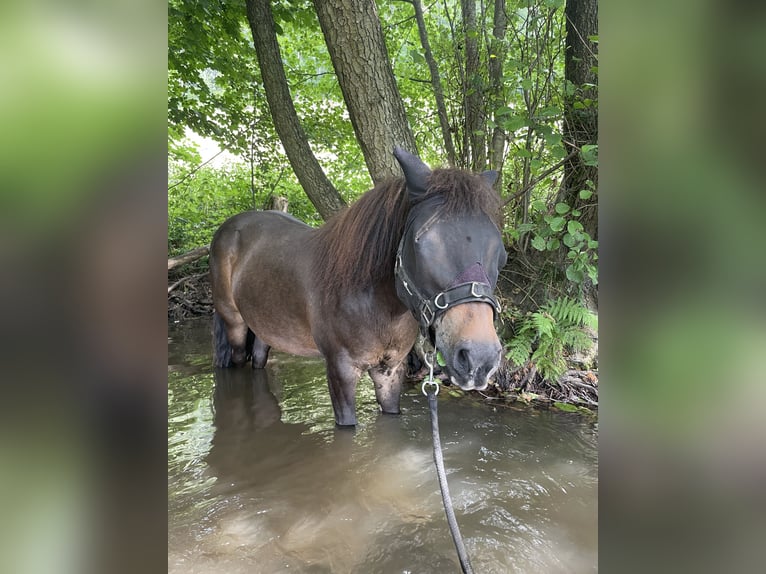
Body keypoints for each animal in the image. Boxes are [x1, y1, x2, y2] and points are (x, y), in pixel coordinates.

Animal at [210, 148, 510, 428]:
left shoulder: (390, 370)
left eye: (500, 251)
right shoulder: (340, 371)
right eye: (420, 241)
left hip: (265, 325)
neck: (377, 306)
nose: (479, 358)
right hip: (234, 324)